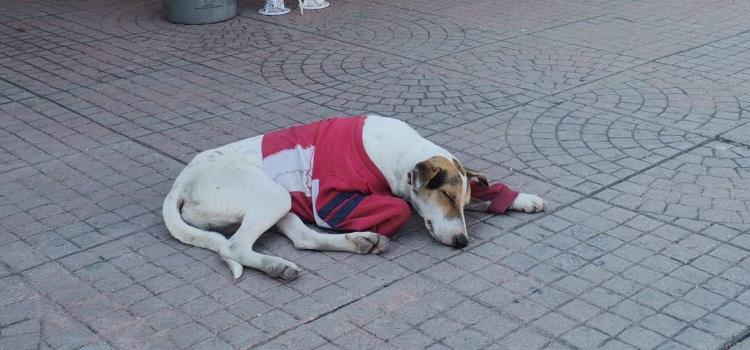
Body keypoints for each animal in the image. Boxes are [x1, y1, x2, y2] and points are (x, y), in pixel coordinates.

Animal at [163, 115, 548, 278]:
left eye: (461, 203)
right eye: (447, 197)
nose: (462, 242)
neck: (396, 151)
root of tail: (181, 182)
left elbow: (484, 187)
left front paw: (521, 198)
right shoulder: (329, 200)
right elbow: (396, 205)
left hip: (278, 202)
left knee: (303, 239)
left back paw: (360, 242)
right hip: (272, 195)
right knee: (234, 247)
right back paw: (277, 267)